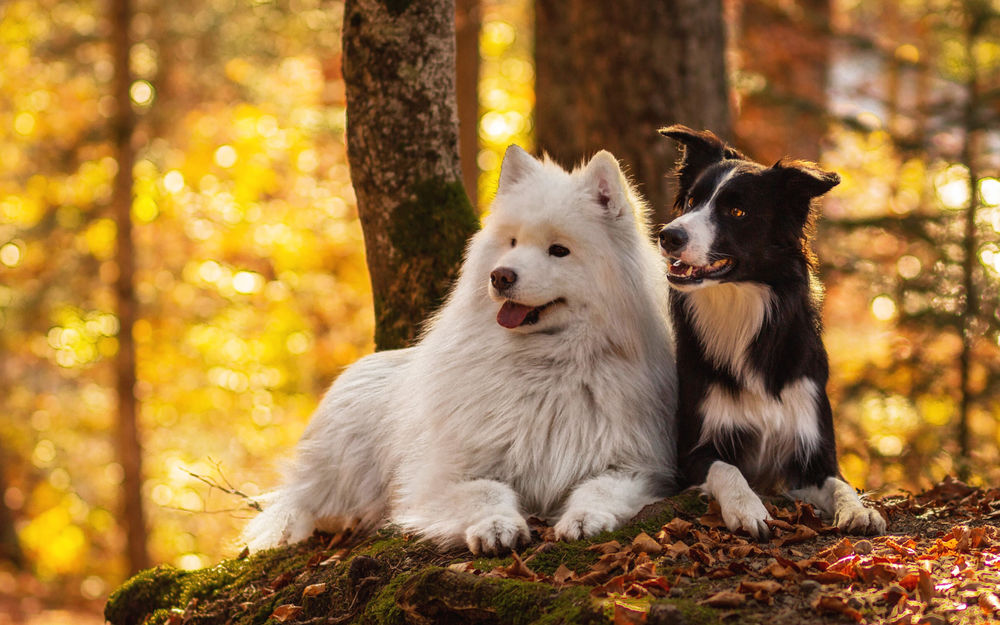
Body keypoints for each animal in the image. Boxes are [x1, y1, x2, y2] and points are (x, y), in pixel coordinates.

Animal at [244, 147, 680, 556]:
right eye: (512, 242)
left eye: (559, 250)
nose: (500, 276)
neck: (547, 365)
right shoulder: (444, 475)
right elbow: (486, 491)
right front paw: (495, 527)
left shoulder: (637, 465)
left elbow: (599, 488)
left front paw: (585, 518)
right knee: (303, 505)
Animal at [660, 125, 888, 536]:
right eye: (691, 202)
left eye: (737, 211)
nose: (668, 236)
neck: (742, 306)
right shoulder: (691, 454)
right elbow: (727, 468)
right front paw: (747, 508)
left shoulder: (814, 452)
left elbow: (841, 485)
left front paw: (859, 511)